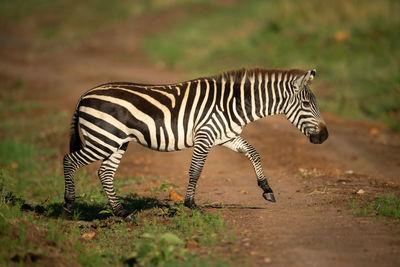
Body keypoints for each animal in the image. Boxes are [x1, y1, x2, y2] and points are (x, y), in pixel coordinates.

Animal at [62, 67, 328, 222]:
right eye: (307, 104)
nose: (324, 136)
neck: (233, 105)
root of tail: (85, 95)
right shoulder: (205, 136)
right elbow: (196, 171)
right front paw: (191, 205)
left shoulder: (226, 136)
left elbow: (254, 152)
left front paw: (266, 189)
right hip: (103, 139)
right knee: (69, 161)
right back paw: (68, 207)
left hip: (116, 142)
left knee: (105, 173)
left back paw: (123, 213)